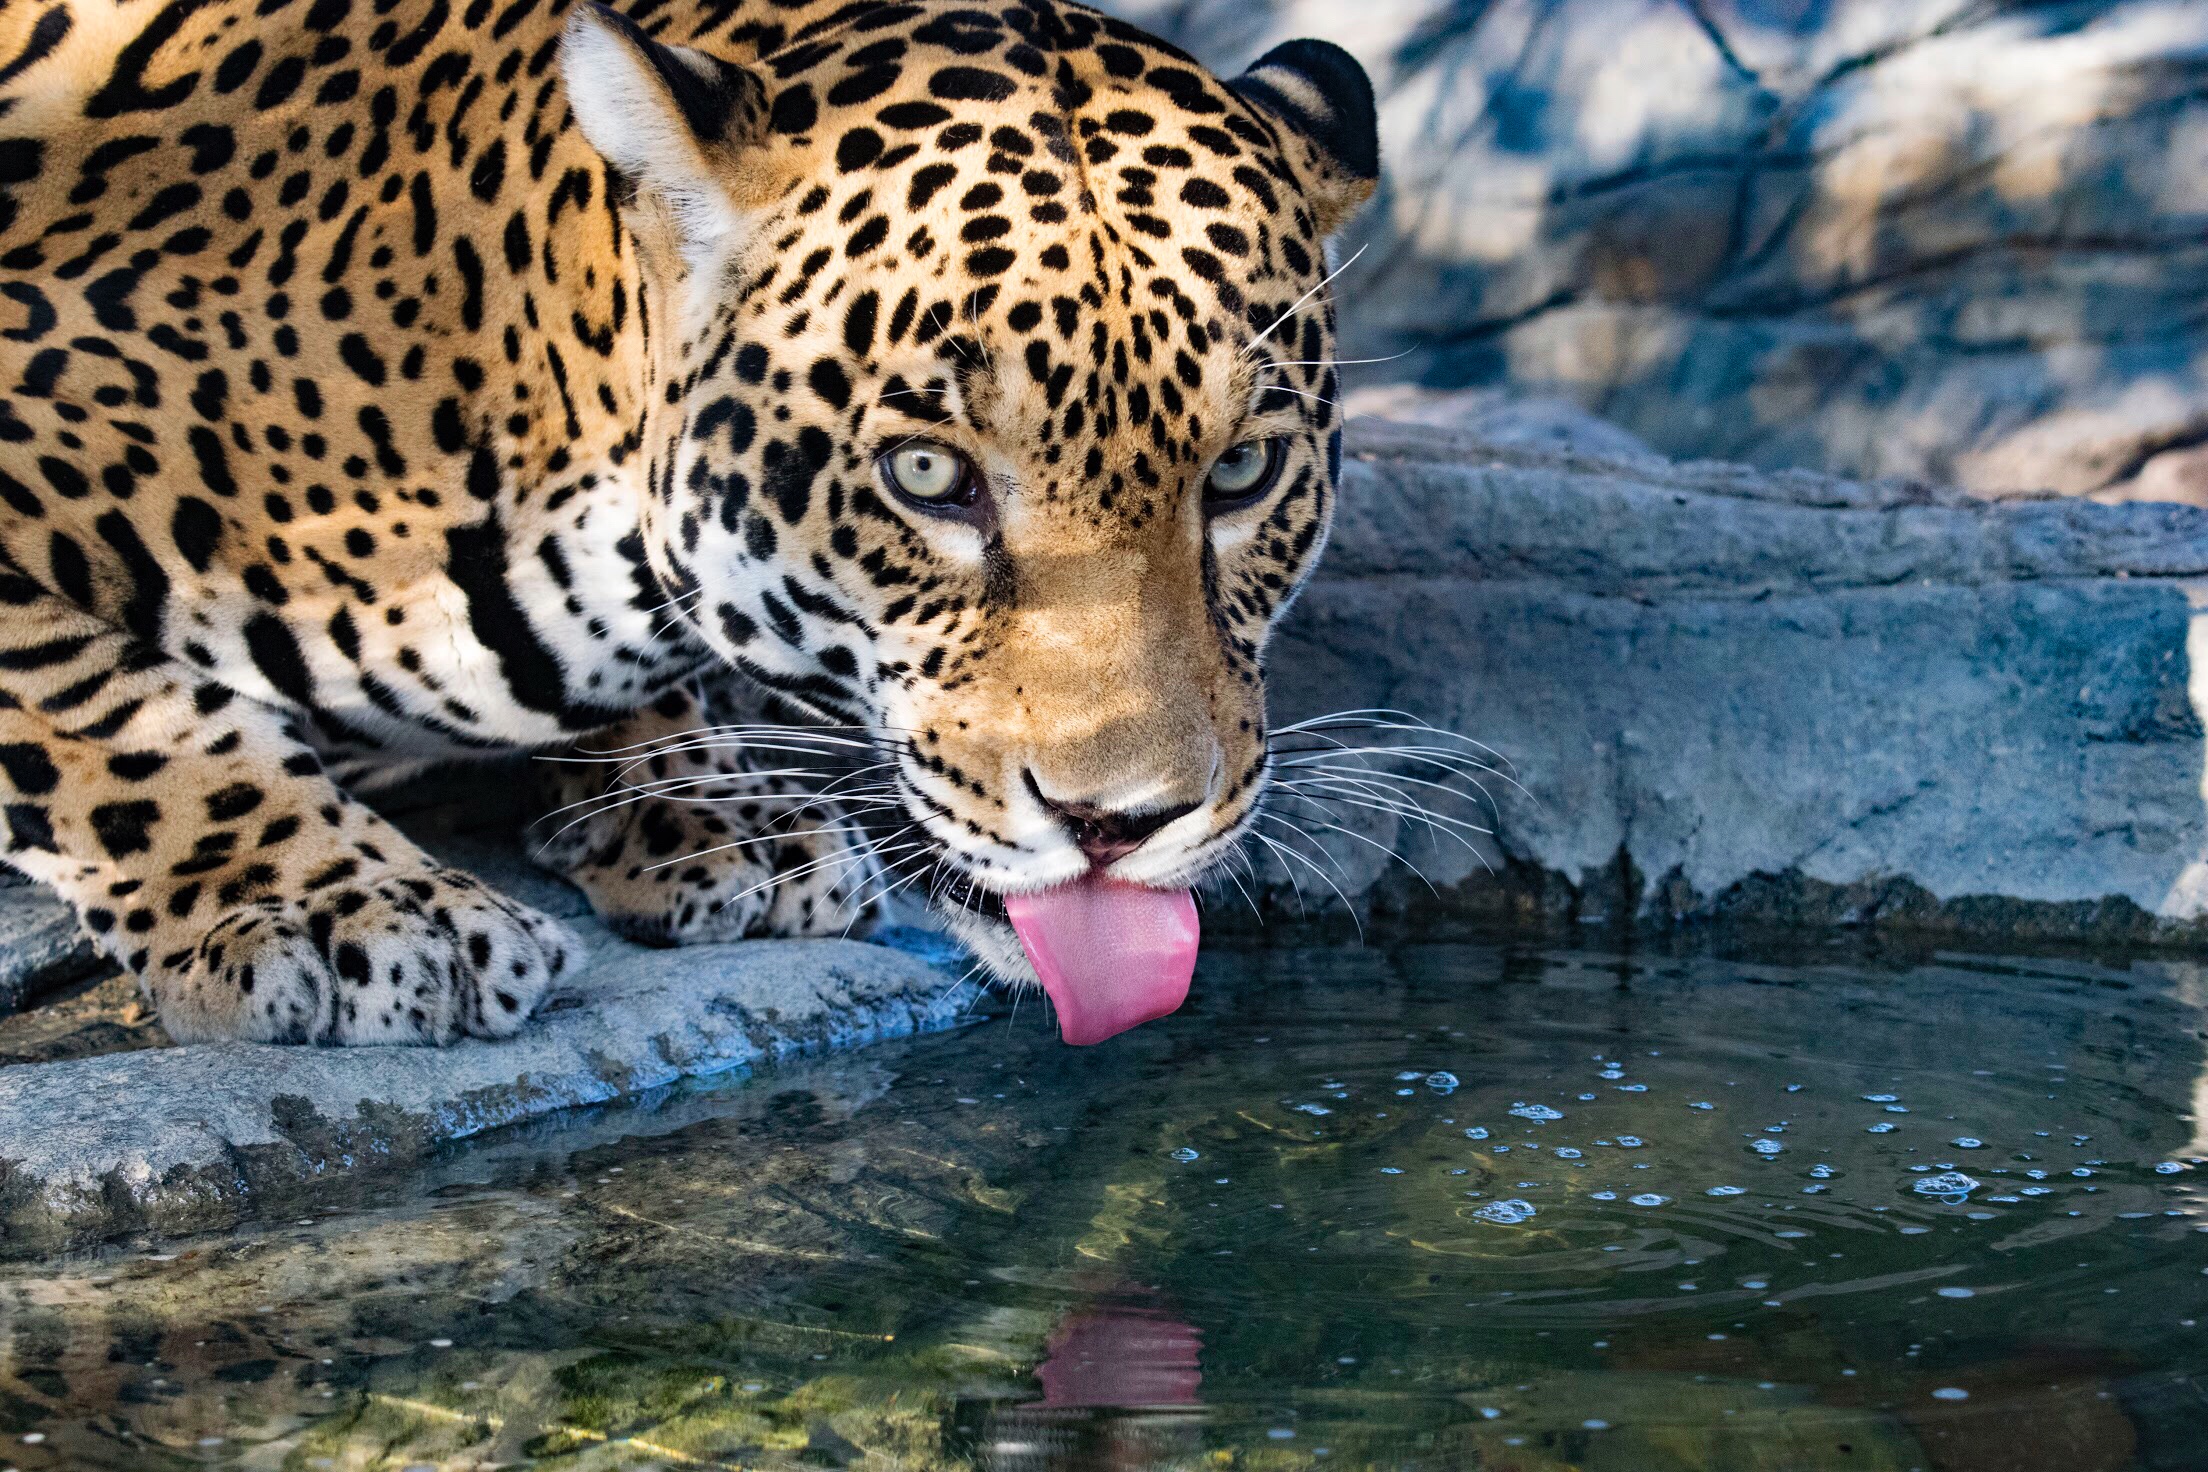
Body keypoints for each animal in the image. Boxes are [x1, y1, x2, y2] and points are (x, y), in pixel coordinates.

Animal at [0, 0, 1377, 1044]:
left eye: (1242, 470)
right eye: (929, 474)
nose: (1119, 828)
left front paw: (707, 810)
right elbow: (114, 716)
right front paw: (348, 912)